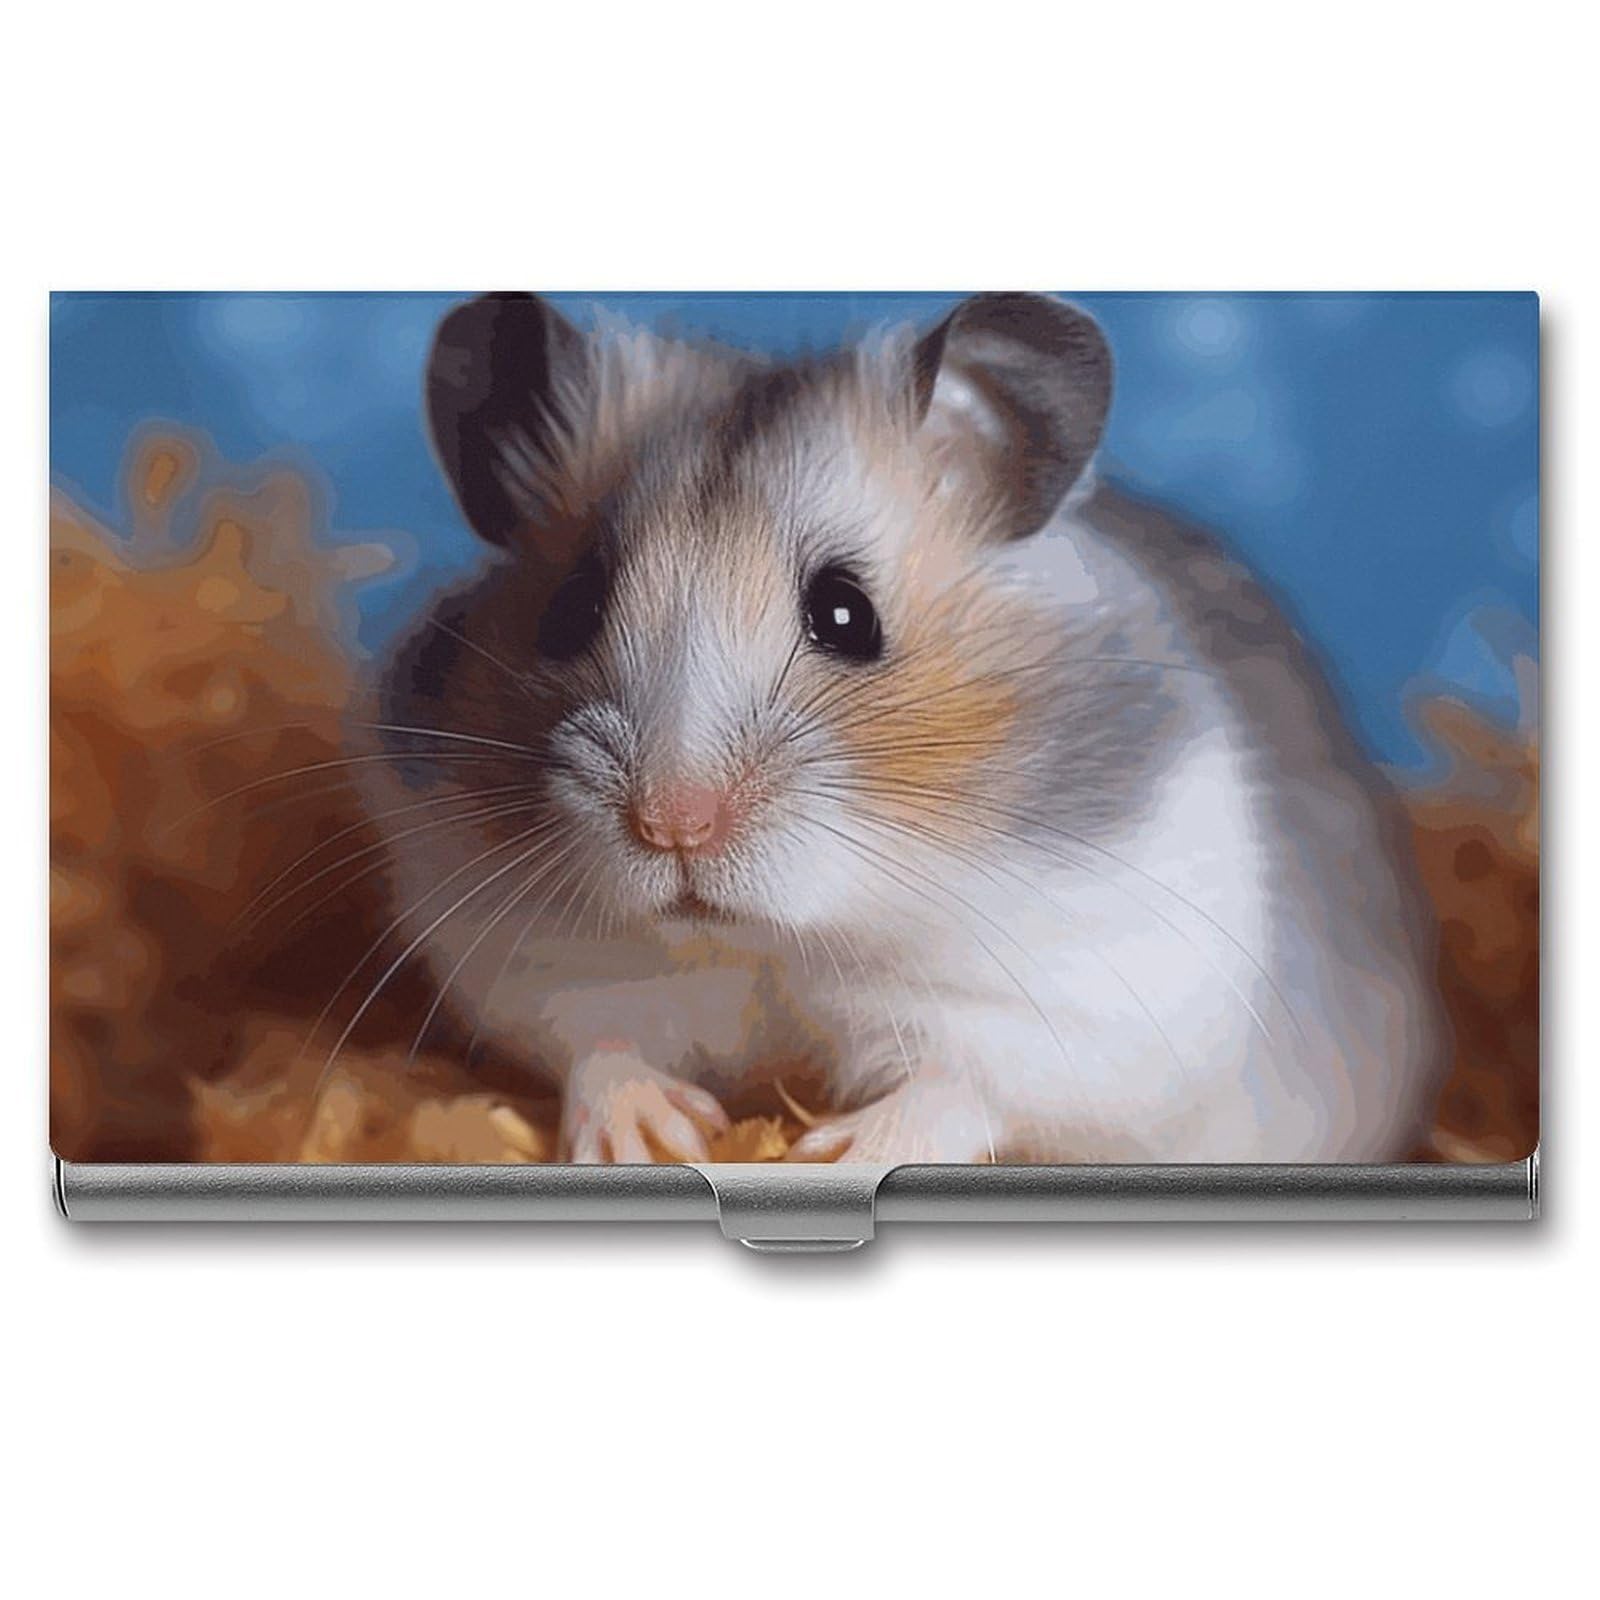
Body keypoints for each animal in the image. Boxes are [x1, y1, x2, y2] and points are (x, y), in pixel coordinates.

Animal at [352, 291, 1445, 1164]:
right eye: (573, 609)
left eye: (846, 614)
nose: (673, 826)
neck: (788, 940)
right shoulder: (523, 945)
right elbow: (594, 1043)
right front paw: (657, 1139)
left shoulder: (1095, 990)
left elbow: (967, 1084)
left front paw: (832, 1154)